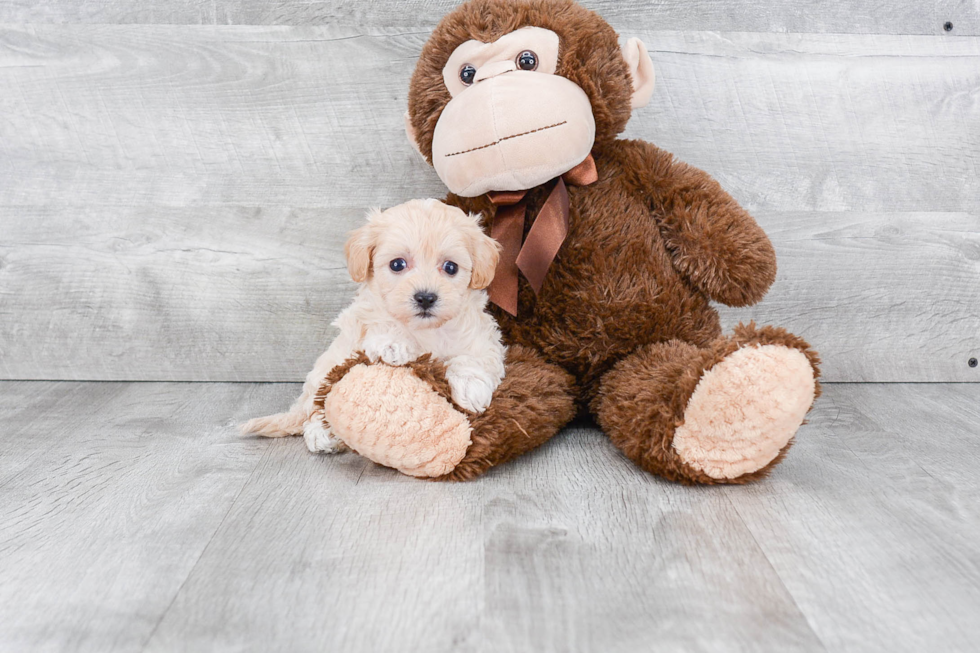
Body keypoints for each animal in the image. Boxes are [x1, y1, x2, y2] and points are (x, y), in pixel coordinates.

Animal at [239, 199, 506, 454]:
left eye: (451, 267)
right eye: (397, 264)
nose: (425, 298)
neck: (424, 330)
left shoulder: (482, 336)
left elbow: (474, 357)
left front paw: (471, 387)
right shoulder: (366, 319)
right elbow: (382, 323)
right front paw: (394, 344)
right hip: (324, 371)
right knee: (316, 407)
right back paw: (322, 433)